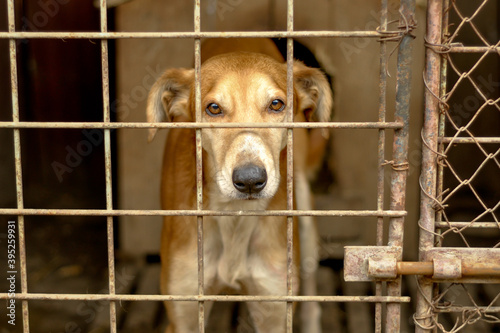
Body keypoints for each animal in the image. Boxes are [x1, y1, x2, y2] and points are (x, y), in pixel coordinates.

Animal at [146, 37, 332, 330]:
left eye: (276, 104)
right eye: (213, 108)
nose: (250, 180)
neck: (234, 216)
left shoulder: (273, 308)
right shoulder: (185, 312)